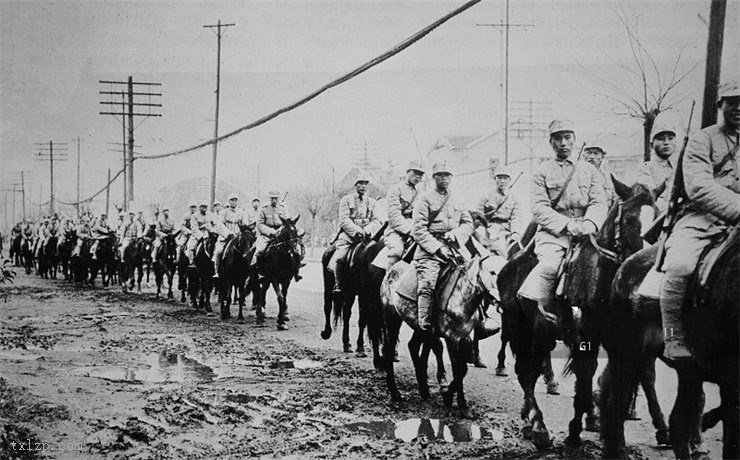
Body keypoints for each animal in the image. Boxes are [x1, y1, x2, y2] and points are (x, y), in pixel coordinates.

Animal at [382, 253, 498, 416]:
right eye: (493, 272)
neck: (461, 296)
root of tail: (393, 269)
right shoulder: (452, 338)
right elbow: (458, 369)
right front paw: (452, 398)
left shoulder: (464, 338)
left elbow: (462, 369)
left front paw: (456, 399)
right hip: (392, 318)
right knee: (389, 350)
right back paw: (395, 392)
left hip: (420, 327)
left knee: (413, 346)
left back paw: (424, 388)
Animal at [498, 180, 660, 450]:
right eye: (629, 220)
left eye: (660, 221)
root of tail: (510, 265)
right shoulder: (586, 339)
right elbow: (585, 380)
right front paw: (574, 433)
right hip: (521, 331)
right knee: (525, 373)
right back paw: (538, 425)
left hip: (540, 336)